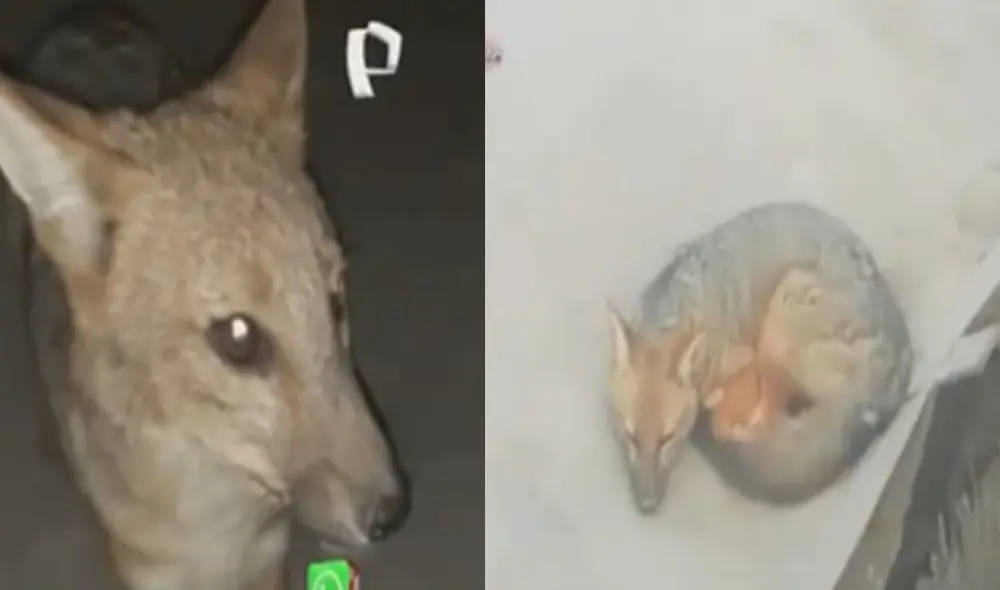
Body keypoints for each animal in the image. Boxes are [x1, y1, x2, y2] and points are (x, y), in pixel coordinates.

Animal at [0, 0, 409, 588]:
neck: (219, 531)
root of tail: (92, 18)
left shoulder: (269, 562)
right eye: (239, 338)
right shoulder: (147, 572)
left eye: (335, 302)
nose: (392, 514)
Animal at [607, 201, 914, 514]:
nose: (647, 506)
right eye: (631, 437)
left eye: (667, 439)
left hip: (780, 319)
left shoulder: (741, 359)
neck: (684, 307)